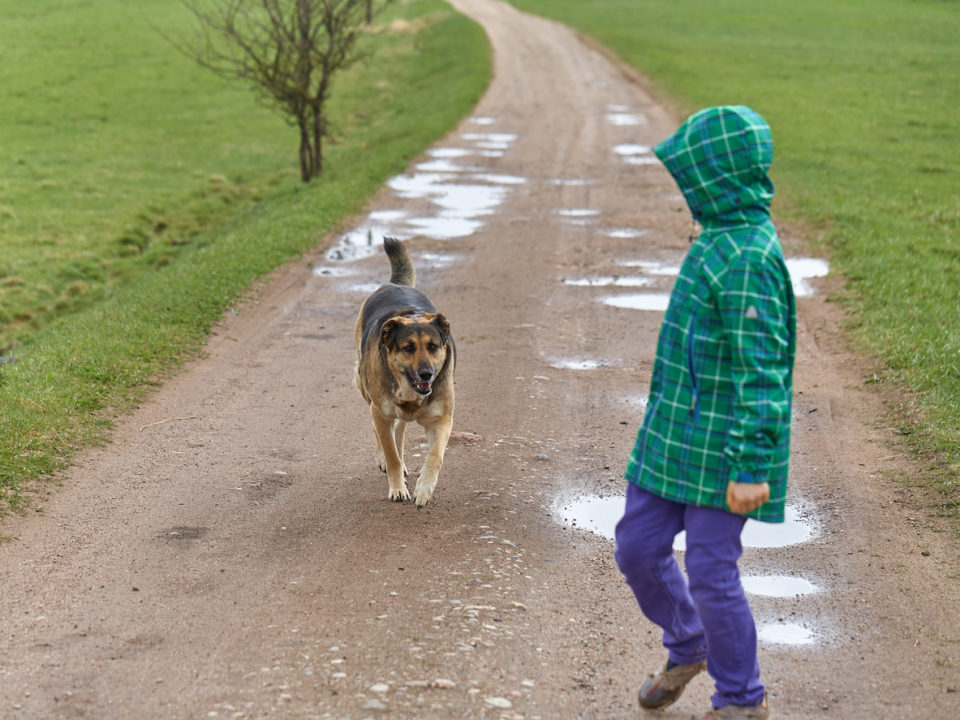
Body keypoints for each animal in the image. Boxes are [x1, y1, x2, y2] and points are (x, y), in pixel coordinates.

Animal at [354, 238, 456, 506]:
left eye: (433, 346)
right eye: (408, 348)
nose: (426, 374)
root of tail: (395, 284)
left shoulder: (442, 419)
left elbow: (435, 455)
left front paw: (424, 489)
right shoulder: (380, 411)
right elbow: (390, 453)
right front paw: (397, 486)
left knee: (399, 428)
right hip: (365, 389)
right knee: (382, 431)